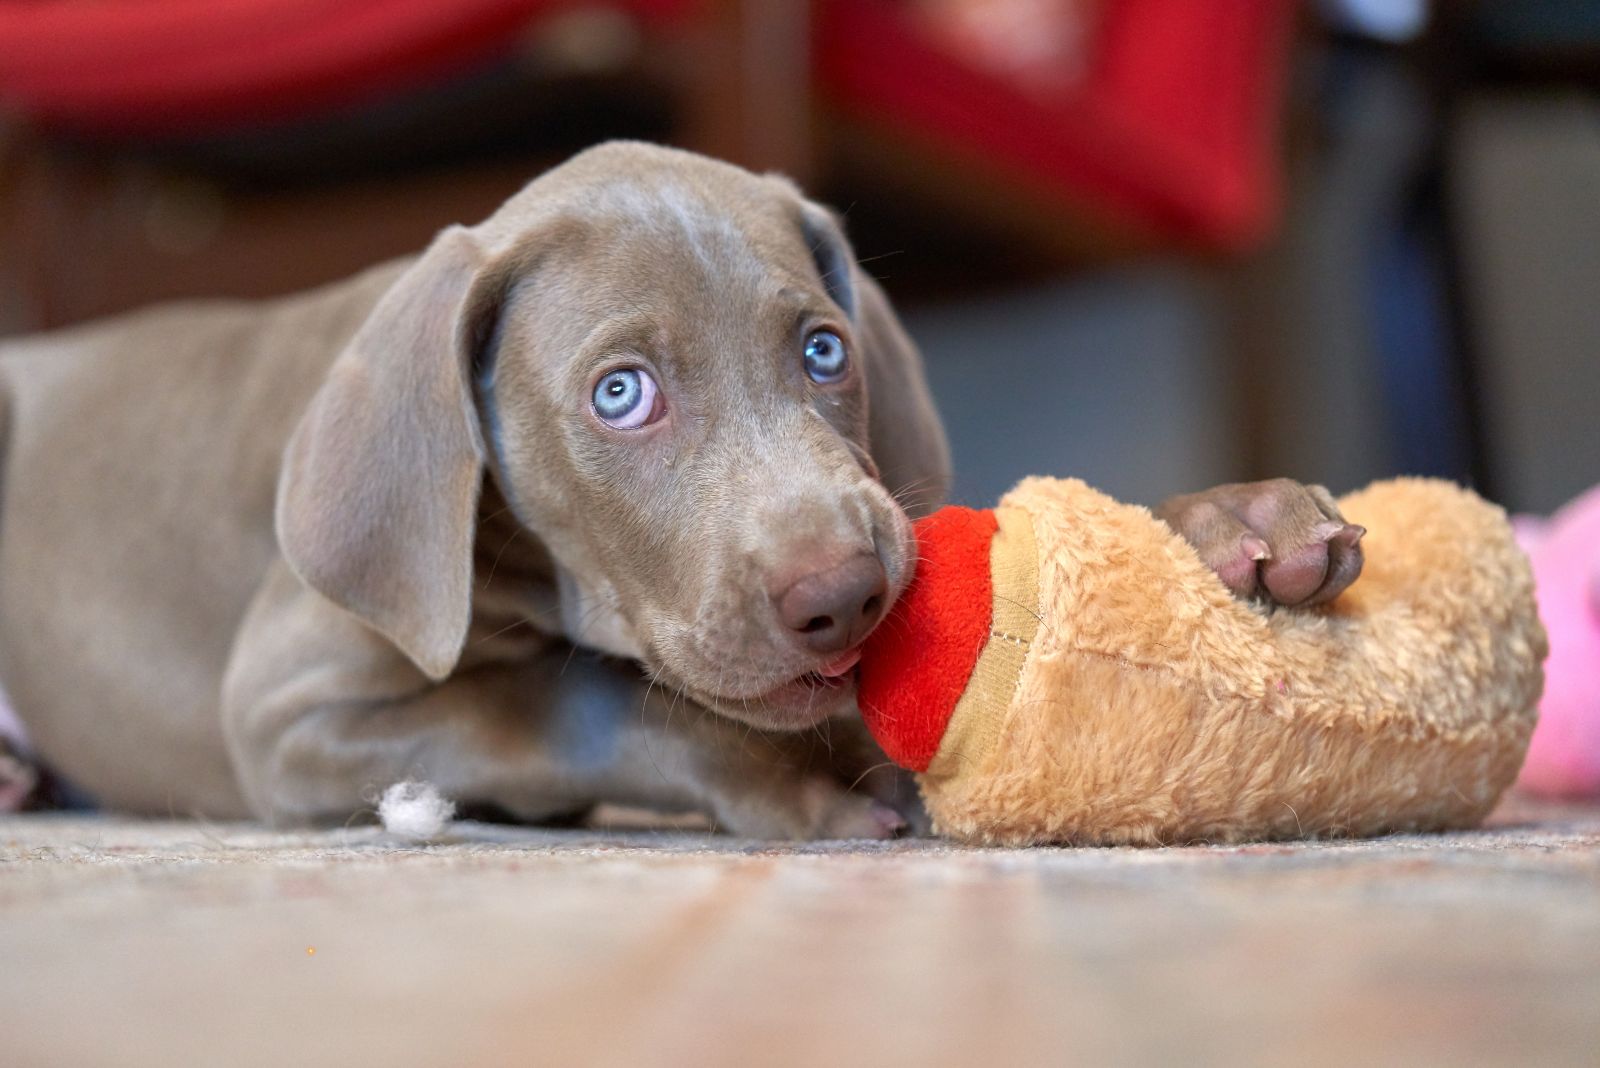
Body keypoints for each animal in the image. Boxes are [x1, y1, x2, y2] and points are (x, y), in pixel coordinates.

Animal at [0, 141, 1363, 837]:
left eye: (824, 352)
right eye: (620, 393)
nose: (846, 600)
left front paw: (1224, 527)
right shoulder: (287, 713)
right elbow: (570, 698)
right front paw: (787, 778)